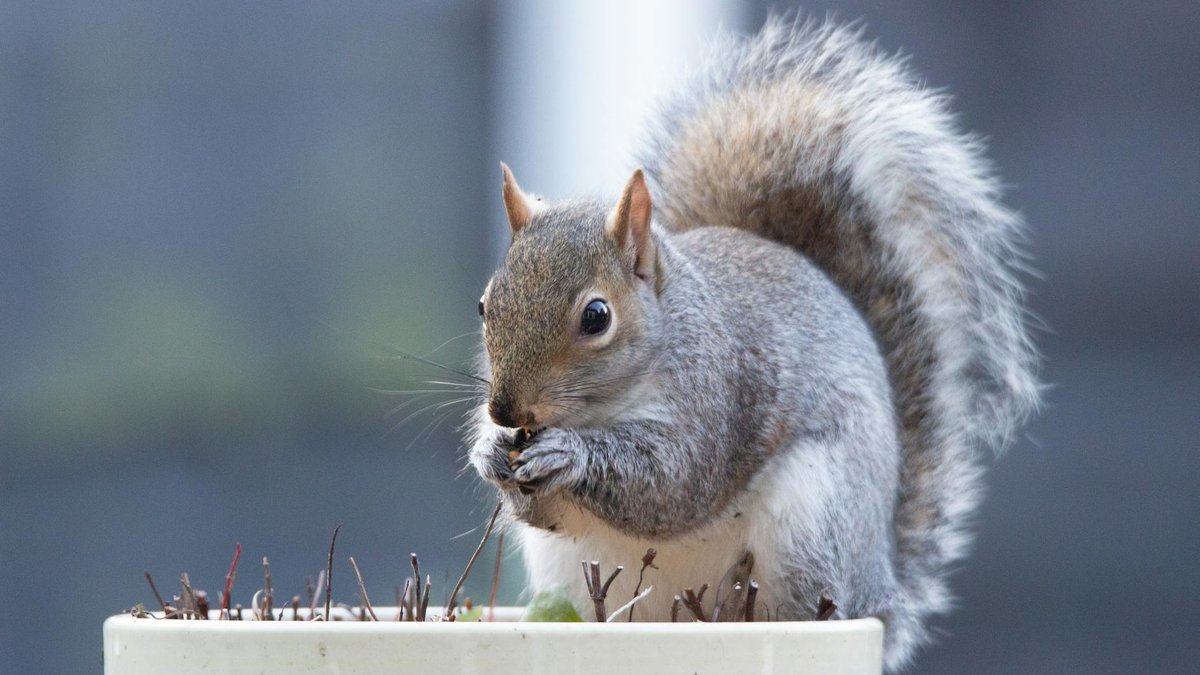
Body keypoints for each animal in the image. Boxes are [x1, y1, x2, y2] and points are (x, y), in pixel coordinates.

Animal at [467, 17, 1038, 670]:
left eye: (596, 316)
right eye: (484, 303)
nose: (503, 410)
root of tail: (883, 586)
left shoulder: (719, 393)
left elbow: (672, 482)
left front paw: (570, 455)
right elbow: (545, 511)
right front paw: (489, 452)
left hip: (812, 530)